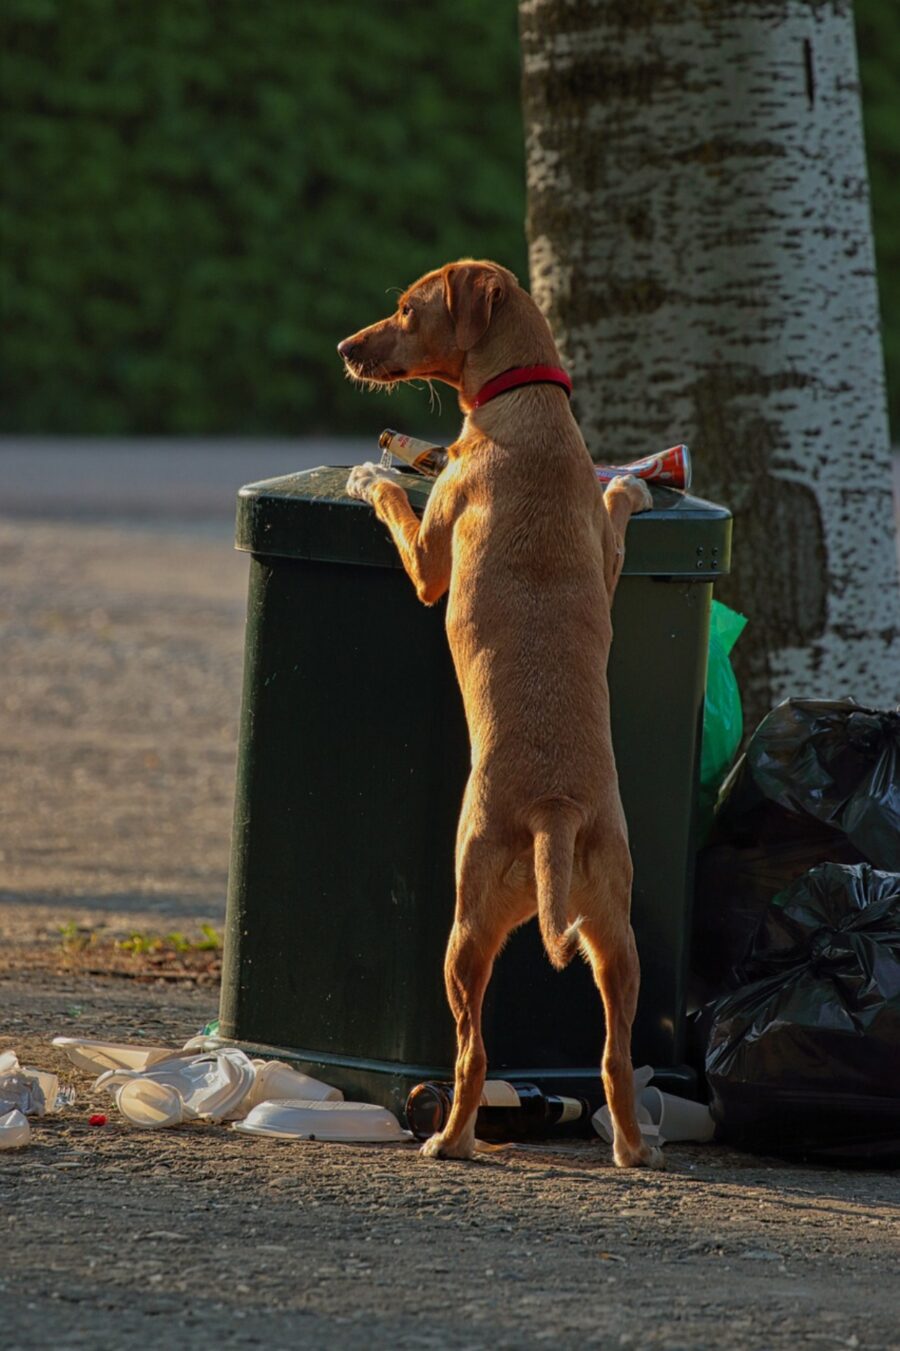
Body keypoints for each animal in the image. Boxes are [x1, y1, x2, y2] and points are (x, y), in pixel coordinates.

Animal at [336, 258, 659, 1167]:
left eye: (406, 309)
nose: (344, 347)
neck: (530, 410)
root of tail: (554, 809)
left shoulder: (429, 559)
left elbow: (402, 516)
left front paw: (375, 476)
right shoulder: (605, 554)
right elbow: (613, 517)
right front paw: (631, 481)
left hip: (466, 925)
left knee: (472, 1052)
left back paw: (449, 1140)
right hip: (615, 938)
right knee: (615, 1057)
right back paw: (633, 1150)